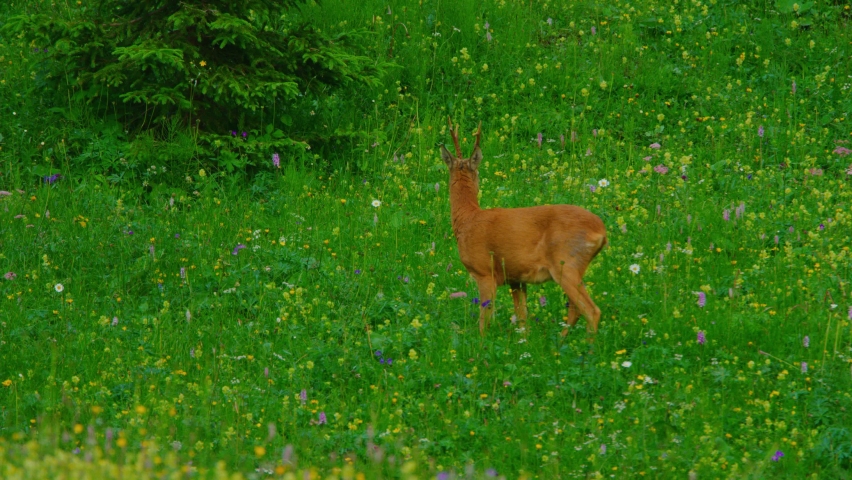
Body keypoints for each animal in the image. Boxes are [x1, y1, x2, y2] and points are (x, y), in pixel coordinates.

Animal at [440, 117, 607, 339]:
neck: (467, 219)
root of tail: (601, 231)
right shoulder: (516, 279)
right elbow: (522, 319)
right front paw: (524, 342)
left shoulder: (485, 272)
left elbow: (484, 320)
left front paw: (481, 344)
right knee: (575, 309)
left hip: (566, 263)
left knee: (591, 310)